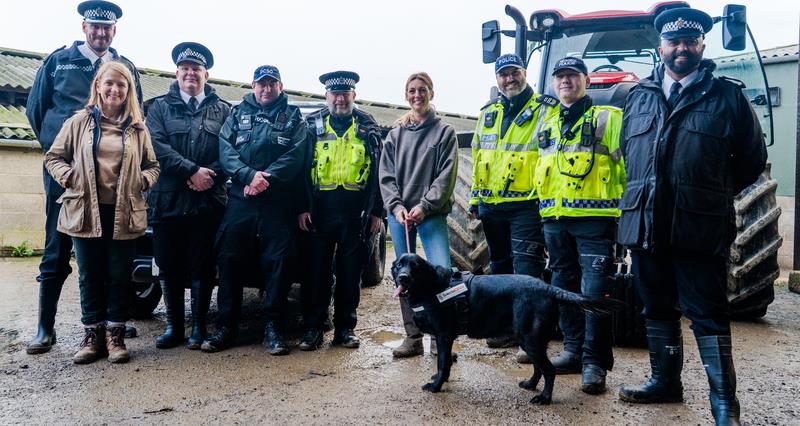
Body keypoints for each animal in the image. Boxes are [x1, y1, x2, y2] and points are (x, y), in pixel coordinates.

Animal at [394, 255, 624, 404]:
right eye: (398, 265)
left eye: (414, 266)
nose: (403, 277)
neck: (432, 287)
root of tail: (547, 287)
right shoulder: (445, 338)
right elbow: (445, 363)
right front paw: (437, 380)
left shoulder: (443, 336)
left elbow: (443, 364)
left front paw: (436, 386)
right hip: (530, 339)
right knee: (539, 367)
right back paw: (530, 384)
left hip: (530, 339)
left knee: (549, 369)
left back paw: (544, 398)